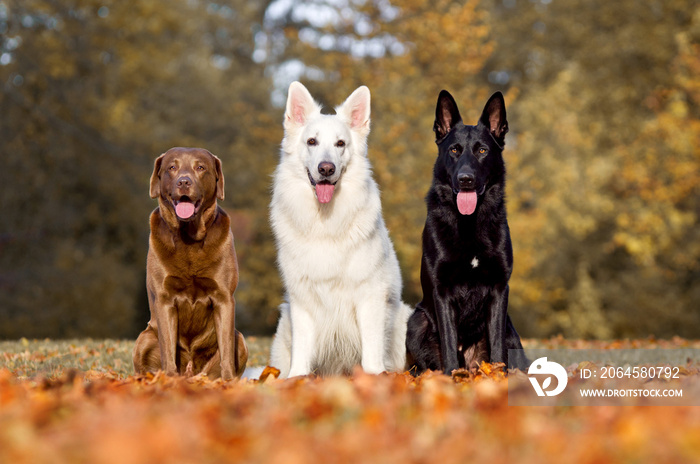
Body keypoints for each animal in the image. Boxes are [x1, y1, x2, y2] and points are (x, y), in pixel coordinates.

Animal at [133, 147, 247, 378]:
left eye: (200, 167)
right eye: (171, 167)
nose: (184, 182)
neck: (189, 239)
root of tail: (191, 372)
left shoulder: (223, 298)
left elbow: (226, 351)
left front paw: (228, 380)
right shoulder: (165, 298)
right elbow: (168, 349)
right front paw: (168, 379)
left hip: (241, 339)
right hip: (144, 338)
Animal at [268, 81, 410, 376]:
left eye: (340, 143)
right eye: (311, 141)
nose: (326, 168)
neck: (326, 220)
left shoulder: (370, 296)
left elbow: (371, 353)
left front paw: (375, 378)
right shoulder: (301, 300)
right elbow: (301, 353)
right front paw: (296, 380)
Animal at [404, 89, 532, 374]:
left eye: (482, 150)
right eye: (454, 150)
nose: (465, 180)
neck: (469, 223)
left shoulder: (499, 289)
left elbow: (497, 346)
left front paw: (499, 377)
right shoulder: (442, 291)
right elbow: (450, 344)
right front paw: (451, 378)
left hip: (511, 331)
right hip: (416, 323)